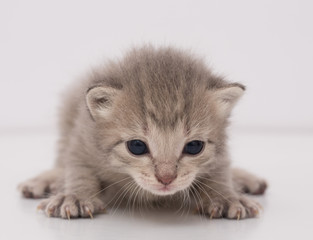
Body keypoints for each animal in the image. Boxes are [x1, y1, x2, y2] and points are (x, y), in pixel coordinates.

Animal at [18, 45, 266, 219]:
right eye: (136, 146)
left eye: (194, 146)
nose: (166, 178)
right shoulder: (83, 139)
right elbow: (77, 170)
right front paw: (75, 196)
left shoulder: (220, 154)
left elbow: (220, 171)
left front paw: (226, 197)